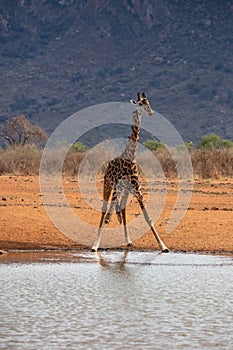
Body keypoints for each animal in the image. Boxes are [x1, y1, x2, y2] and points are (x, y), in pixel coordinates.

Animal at [91, 91, 169, 253]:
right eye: (140, 104)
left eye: (148, 103)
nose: (150, 112)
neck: (130, 159)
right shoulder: (116, 189)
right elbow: (107, 218)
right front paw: (95, 246)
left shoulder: (137, 190)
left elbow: (148, 217)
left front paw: (163, 246)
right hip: (108, 186)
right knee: (104, 211)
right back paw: (96, 243)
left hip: (125, 192)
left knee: (123, 210)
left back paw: (128, 241)